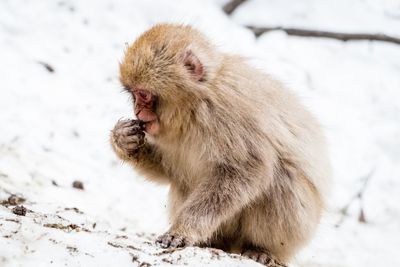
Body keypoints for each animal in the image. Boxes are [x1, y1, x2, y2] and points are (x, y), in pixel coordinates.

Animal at [110, 24, 332, 266]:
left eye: (144, 95)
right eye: (134, 95)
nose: (138, 111)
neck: (194, 106)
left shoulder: (229, 112)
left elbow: (242, 171)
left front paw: (183, 230)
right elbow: (167, 171)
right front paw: (123, 140)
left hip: (300, 229)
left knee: (282, 178)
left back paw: (261, 249)